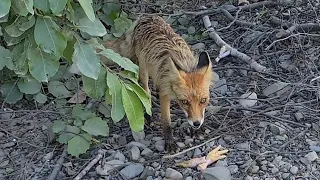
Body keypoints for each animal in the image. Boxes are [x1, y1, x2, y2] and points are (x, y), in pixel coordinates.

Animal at [104, 14, 212, 151]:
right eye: (184, 102)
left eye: (203, 100)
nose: (196, 123)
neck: (184, 63)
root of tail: (145, 17)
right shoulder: (165, 94)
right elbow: (166, 120)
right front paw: (169, 141)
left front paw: (195, 130)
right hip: (143, 68)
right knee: (145, 91)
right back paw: (148, 114)